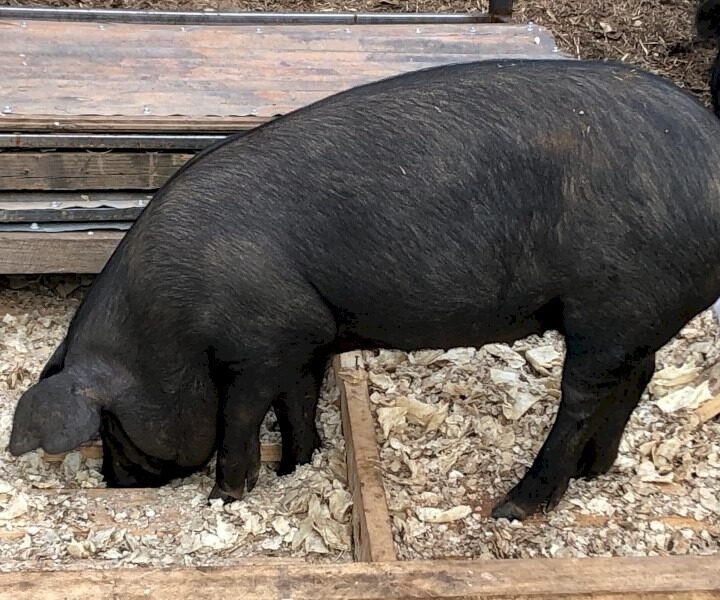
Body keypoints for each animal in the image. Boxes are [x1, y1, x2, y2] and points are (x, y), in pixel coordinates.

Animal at [8, 58, 720, 521]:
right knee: (639, 375)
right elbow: (298, 403)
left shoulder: (264, 340)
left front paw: (226, 496)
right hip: (633, 317)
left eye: (112, 428)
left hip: (614, 304)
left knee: (581, 398)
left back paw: (514, 508)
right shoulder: (306, 335)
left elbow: (242, 416)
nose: (116, 487)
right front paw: (297, 466)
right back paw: (596, 471)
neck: (171, 324)